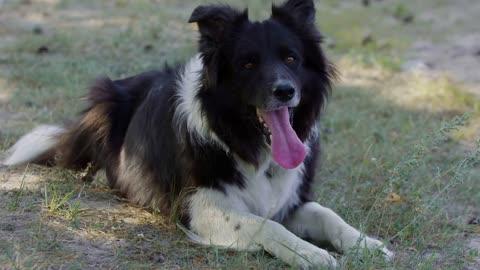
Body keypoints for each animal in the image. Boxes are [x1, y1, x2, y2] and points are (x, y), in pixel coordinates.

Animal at [1, 0, 394, 268]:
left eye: (291, 58)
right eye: (248, 63)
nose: (284, 91)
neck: (243, 140)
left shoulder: (290, 201)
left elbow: (327, 214)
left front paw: (367, 244)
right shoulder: (201, 208)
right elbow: (267, 226)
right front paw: (311, 254)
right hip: (104, 102)